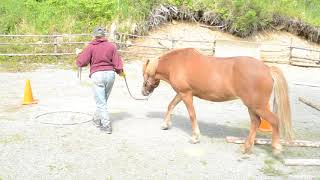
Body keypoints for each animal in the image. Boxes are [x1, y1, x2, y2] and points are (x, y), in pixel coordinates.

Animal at [141, 47, 294, 153]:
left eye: (144, 75)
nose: (143, 92)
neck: (177, 63)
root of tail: (267, 69)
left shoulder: (186, 94)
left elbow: (192, 115)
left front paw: (195, 137)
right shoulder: (182, 93)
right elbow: (171, 105)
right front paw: (165, 125)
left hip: (257, 106)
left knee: (274, 120)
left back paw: (276, 147)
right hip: (251, 106)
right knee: (255, 122)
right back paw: (246, 148)